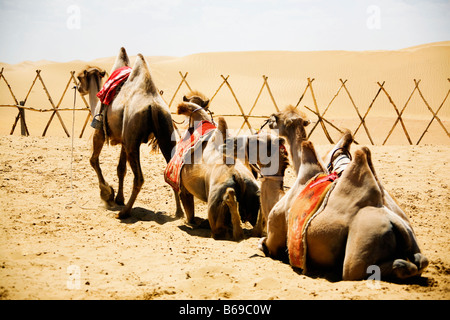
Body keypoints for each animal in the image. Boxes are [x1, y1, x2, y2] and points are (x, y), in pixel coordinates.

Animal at [89, 48, 184, 220]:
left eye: (81, 76)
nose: (77, 86)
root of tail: (153, 105)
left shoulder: (99, 130)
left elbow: (93, 160)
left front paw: (107, 194)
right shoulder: (123, 139)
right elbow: (121, 169)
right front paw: (118, 198)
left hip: (133, 139)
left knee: (139, 178)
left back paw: (124, 213)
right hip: (165, 133)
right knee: (171, 168)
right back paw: (179, 212)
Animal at [258, 134, 428, 282]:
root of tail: (392, 221)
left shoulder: (275, 237)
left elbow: (264, 244)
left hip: (363, 245)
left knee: (357, 271)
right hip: (409, 235)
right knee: (421, 261)